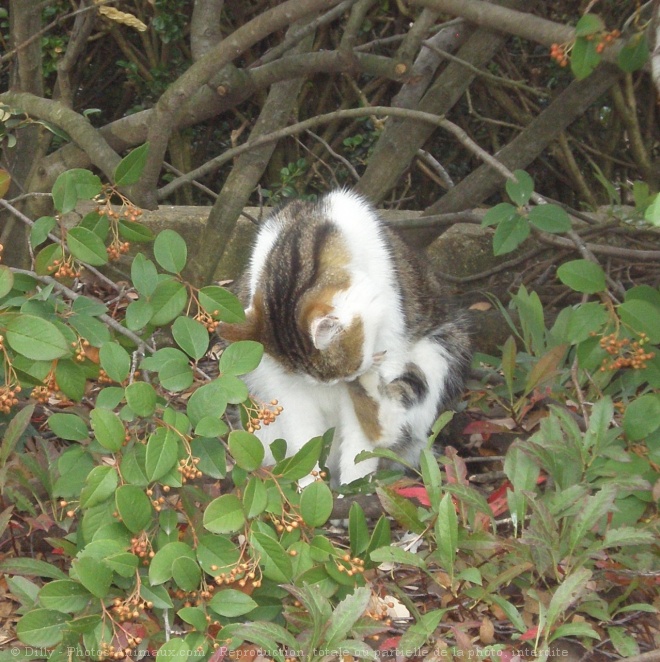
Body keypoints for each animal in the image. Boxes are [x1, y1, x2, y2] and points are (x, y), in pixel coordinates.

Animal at [219, 189, 472, 486]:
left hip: (444, 345)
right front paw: (310, 490)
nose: (355, 380)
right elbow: (303, 439)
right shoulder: (285, 384)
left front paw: (353, 489)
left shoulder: (393, 344)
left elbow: (361, 446)